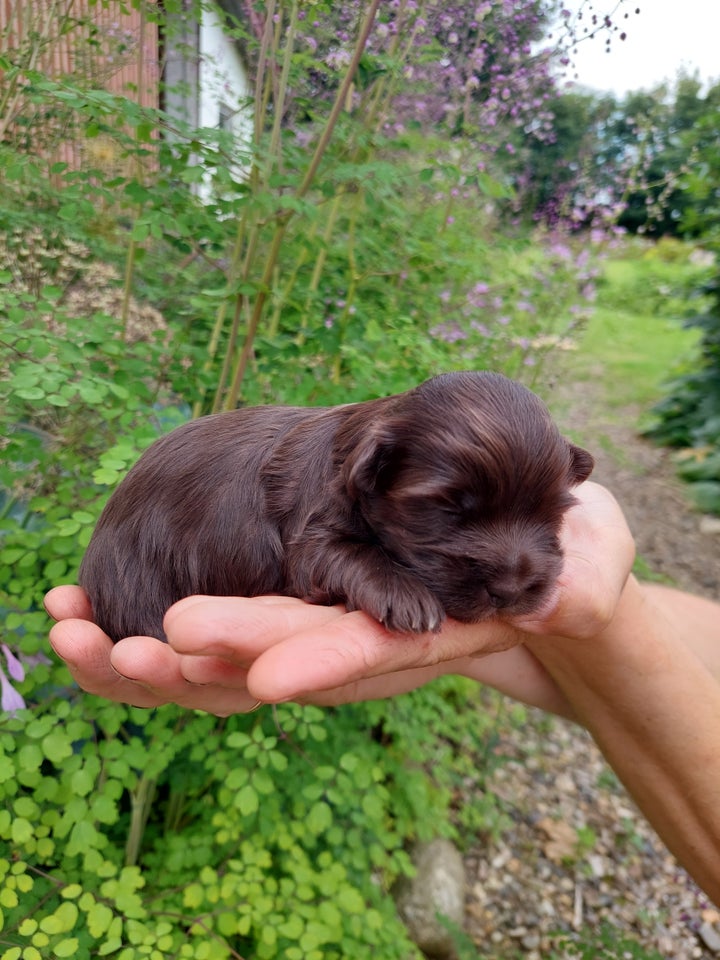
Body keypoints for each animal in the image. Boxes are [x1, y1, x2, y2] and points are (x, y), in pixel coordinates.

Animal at [80, 372, 596, 640]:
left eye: (552, 512)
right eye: (446, 507)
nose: (511, 590)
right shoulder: (310, 533)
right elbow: (349, 552)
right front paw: (405, 595)